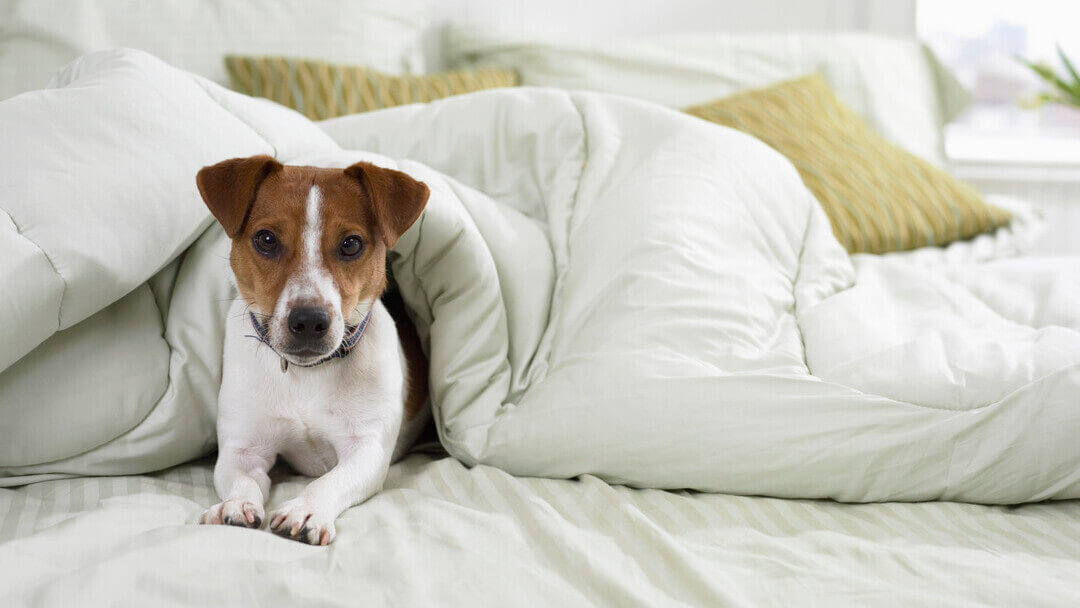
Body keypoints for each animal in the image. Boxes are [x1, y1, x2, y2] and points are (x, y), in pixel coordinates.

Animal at [194, 154, 429, 544]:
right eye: (266, 239)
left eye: (351, 244)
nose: (308, 321)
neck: (306, 376)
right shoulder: (242, 448)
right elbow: (242, 479)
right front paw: (234, 504)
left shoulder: (366, 448)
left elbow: (328, 481)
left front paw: (305, 510)